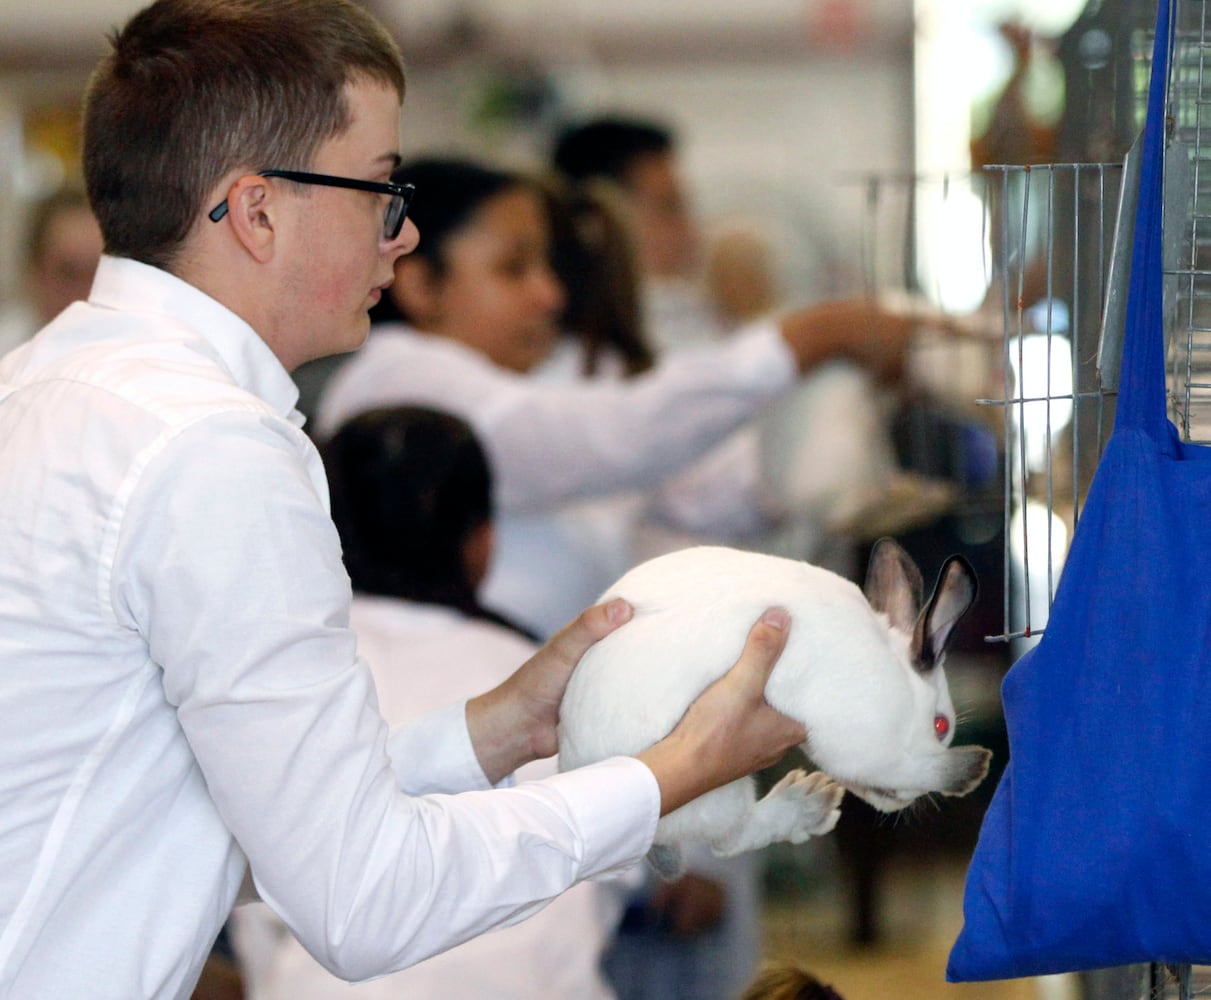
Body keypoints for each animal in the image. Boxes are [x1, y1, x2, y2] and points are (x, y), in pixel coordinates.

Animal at [557, 537, 993, 871]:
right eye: (941, 726)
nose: (904, 804)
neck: (897, 678)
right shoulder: (865, 746)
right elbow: (914, 767)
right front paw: (973, 767)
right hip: (720, 792)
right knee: (733, 837)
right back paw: (809, 802)